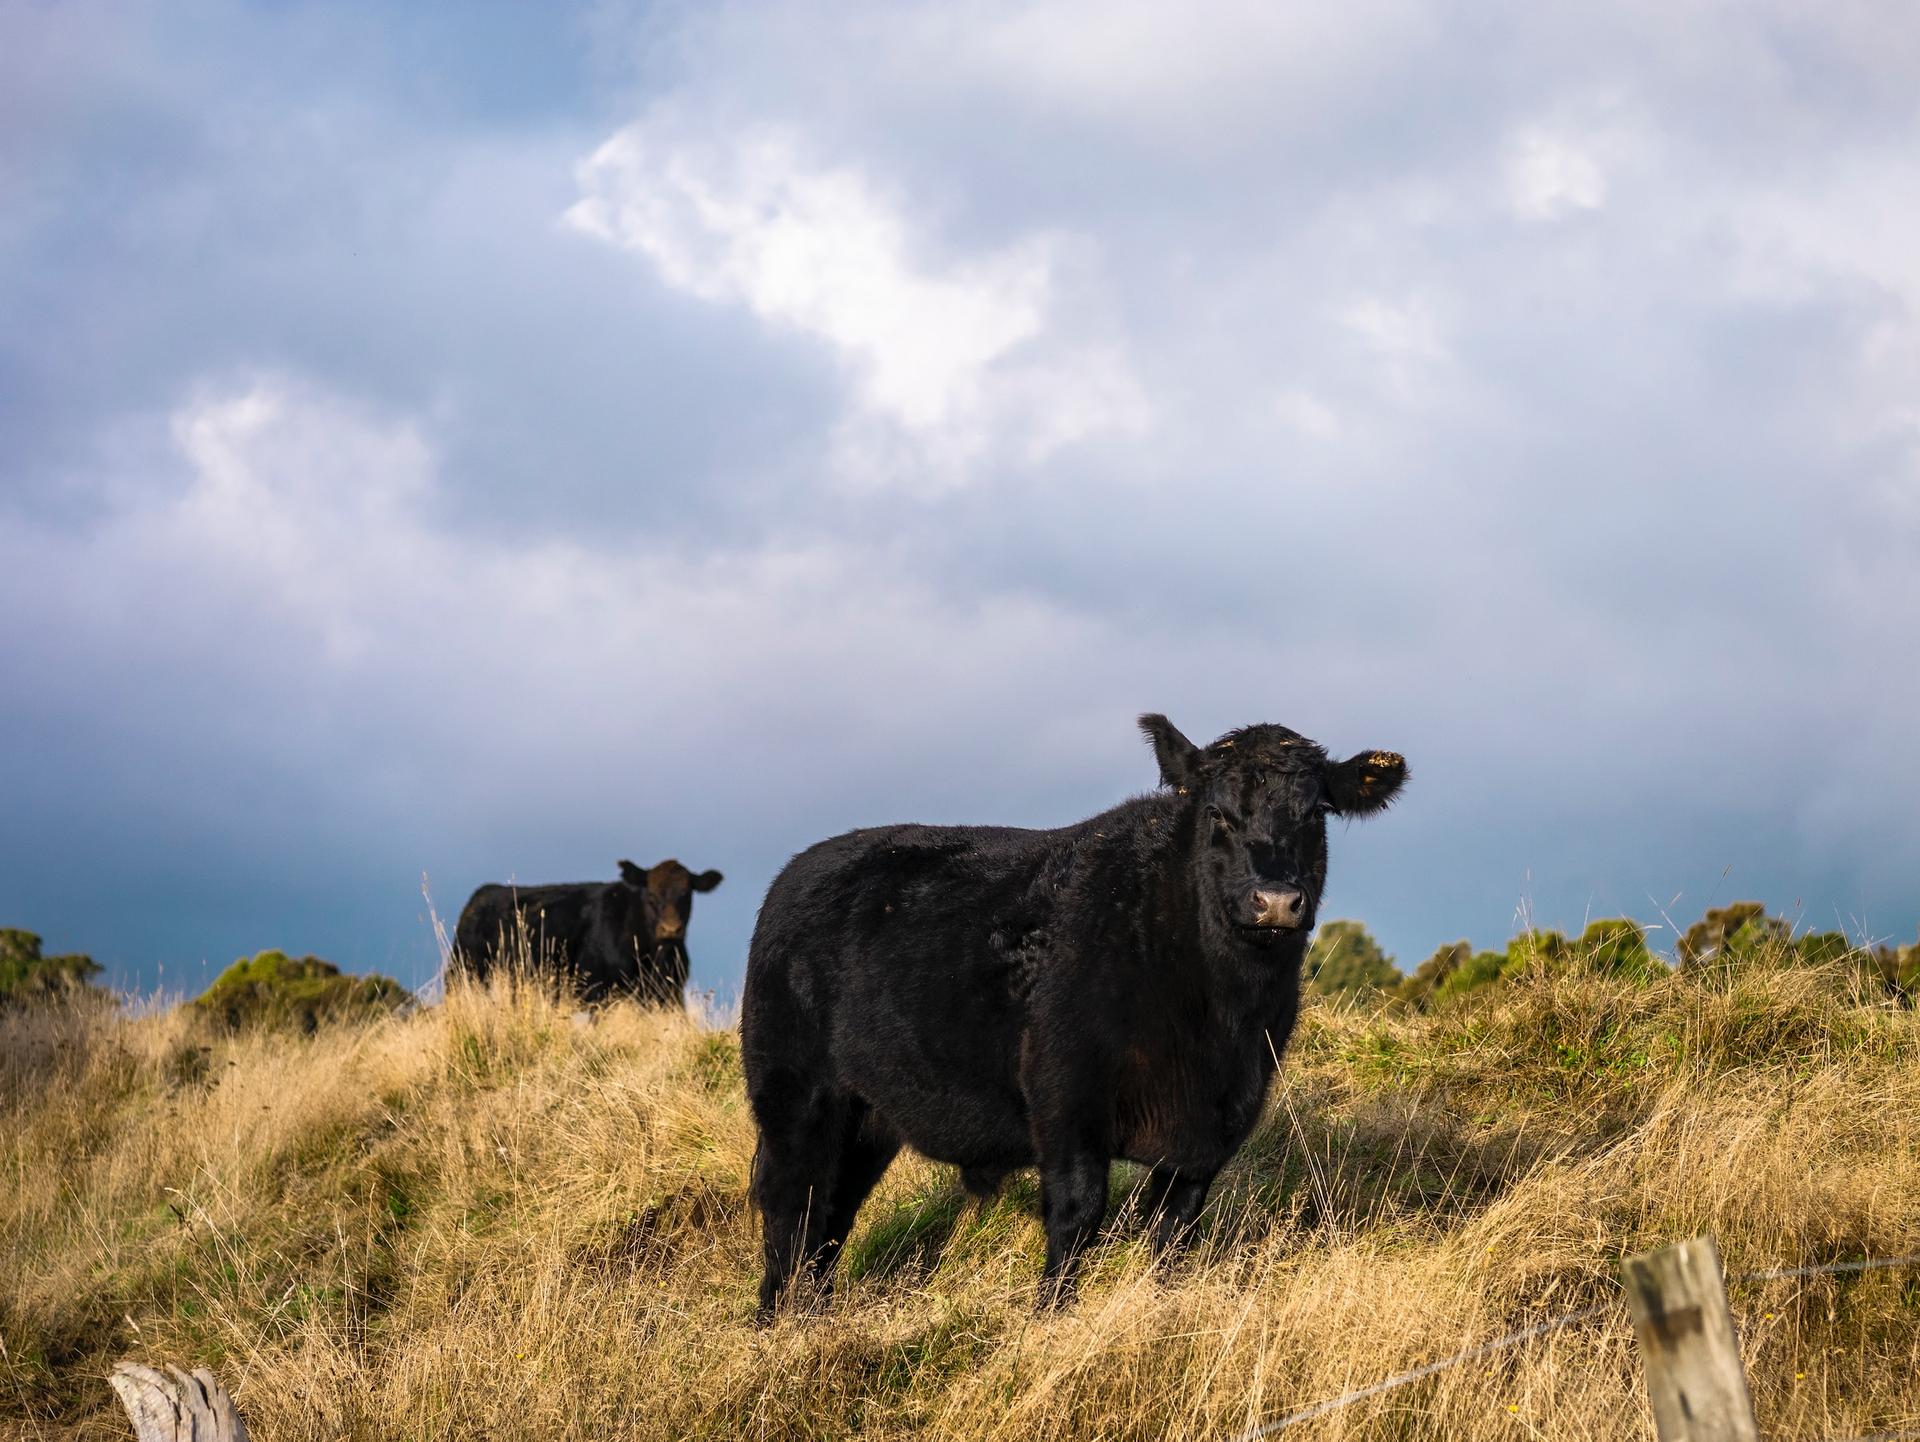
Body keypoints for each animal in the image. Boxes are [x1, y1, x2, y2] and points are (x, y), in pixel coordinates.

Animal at [452, 858, 722, 1006]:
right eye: (652, 896)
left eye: (686, 894)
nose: (671, 929)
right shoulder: (597, 990)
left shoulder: (669, 994)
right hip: (464, 975)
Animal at [740, 715, 1406, 1317]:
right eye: (1217, 813)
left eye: (1315, 813)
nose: (1275, 901)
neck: (1217, 1020)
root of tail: (803, 867)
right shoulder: (1066, 1094)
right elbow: (1078, 1213)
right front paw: (1050, 1317)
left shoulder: (1218, 1122)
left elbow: (1175, 1232)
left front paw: (1162, 1311)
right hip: (796, 1095)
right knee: (793, 1202)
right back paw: (781, 1322)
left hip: (870, 1117)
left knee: (832, 1213)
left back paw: (812, 1315)